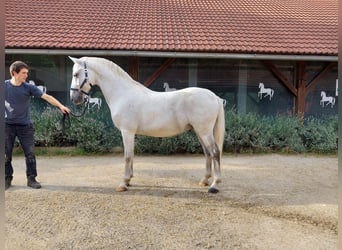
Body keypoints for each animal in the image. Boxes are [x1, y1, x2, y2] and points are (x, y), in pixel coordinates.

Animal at [69, 56, 224, 193]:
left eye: (76, 74)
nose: (74, 99)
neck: (122, 94)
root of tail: (214, 97)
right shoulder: (130, 133)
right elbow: (131, 155)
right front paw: (129, 180)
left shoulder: (127, 132)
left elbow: (127, 156)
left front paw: (123, 183)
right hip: (200, 131)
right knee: (207, 153)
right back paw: (204, 180)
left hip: (204, 131)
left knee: (215, 152)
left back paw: (215, 185)